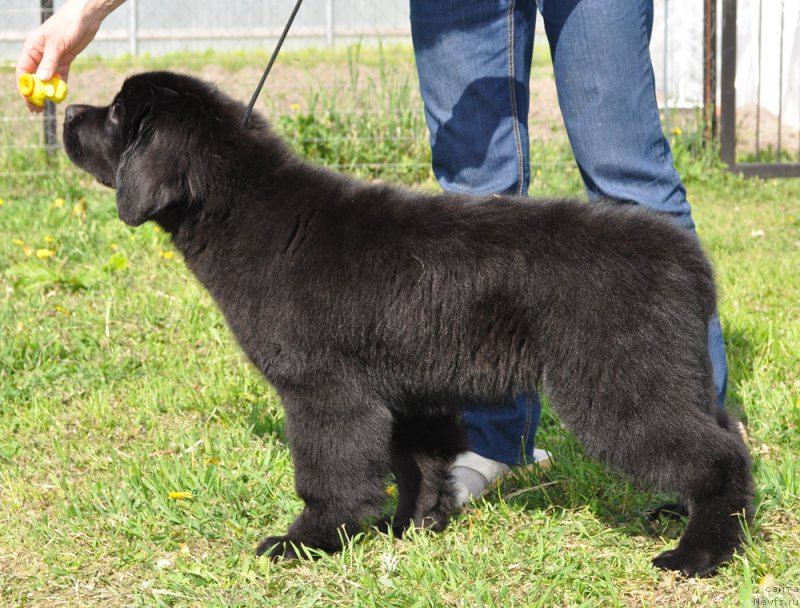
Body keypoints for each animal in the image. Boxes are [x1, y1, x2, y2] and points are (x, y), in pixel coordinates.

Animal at [61, 71, 752, 576]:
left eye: (117, 114)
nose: (66, 113)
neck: (247, 213)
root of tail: (687, 259)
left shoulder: (324, 392)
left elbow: (328, 474)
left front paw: (305, 542)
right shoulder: (405, 386)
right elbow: (415, 463)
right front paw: (411, 528)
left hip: (620, 385)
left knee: (717, 457)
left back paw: (698, 554)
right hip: (672, 375)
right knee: (727, 434)